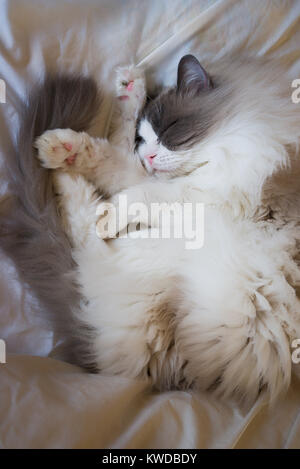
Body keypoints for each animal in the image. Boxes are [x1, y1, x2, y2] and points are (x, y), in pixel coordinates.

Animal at [32, 55, 300, 402]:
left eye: (170, 129)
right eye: (142, 139)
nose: (148, 157)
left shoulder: (199, 196)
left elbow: (135, 193)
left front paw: (107, 210)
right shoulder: (175, 183)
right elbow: (116, 158)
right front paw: (126, 92)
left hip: (164, 252)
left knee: (85, 238)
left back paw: (65, 181)